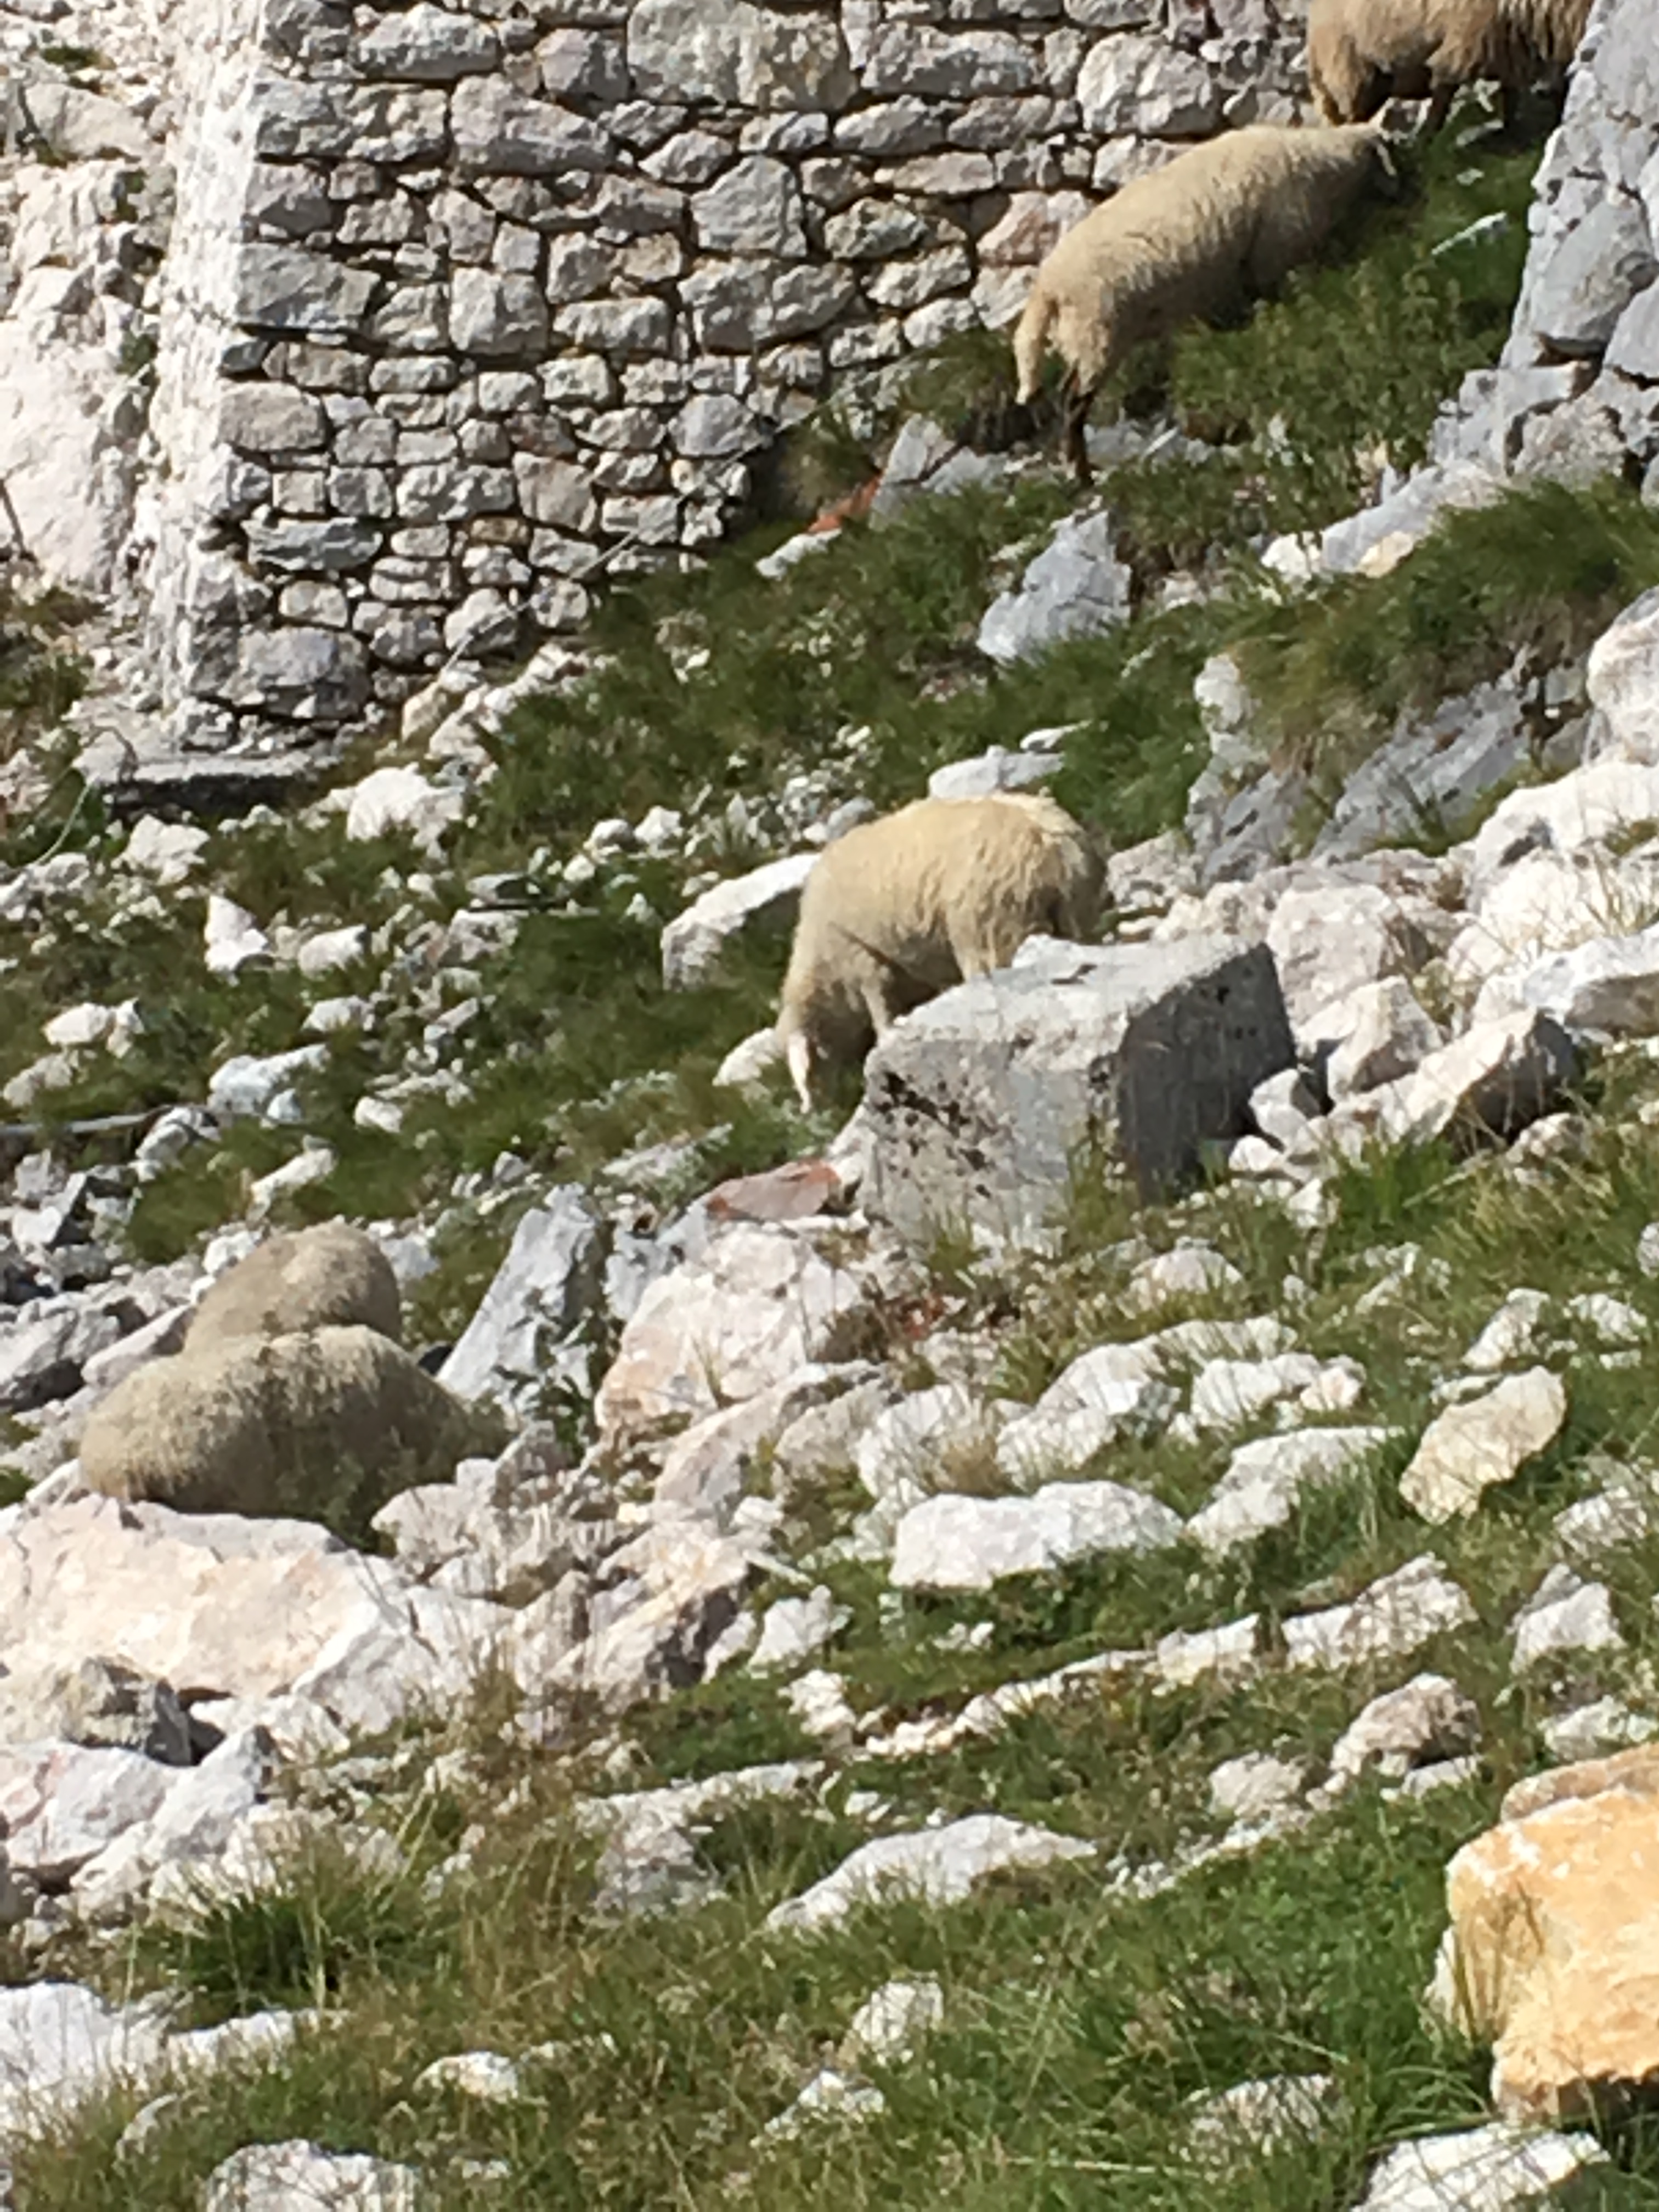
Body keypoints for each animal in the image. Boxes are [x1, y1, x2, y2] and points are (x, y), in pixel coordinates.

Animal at [776, 791, 1103, 1111]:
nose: (821, 1111)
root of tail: (1056, 844)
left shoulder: (863, 960)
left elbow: (882, 1015)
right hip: (1075, 919)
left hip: (994, 930)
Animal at [1012, 123, 1396, 481]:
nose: (1401, 193)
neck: (1324, 165)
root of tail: (1048, 285)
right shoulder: (1272, 258)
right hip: (1099, 332)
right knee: (1073, 402)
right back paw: (1082, 473)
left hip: (1084, 337)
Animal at [1307, 0, 1593, 132]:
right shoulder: (1465, 42)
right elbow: (1443, 93)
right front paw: (1428, 137)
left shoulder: (1507, 47)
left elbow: (1513, 94)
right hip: (1351, 71)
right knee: (1349, 117)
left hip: (1376, 81)